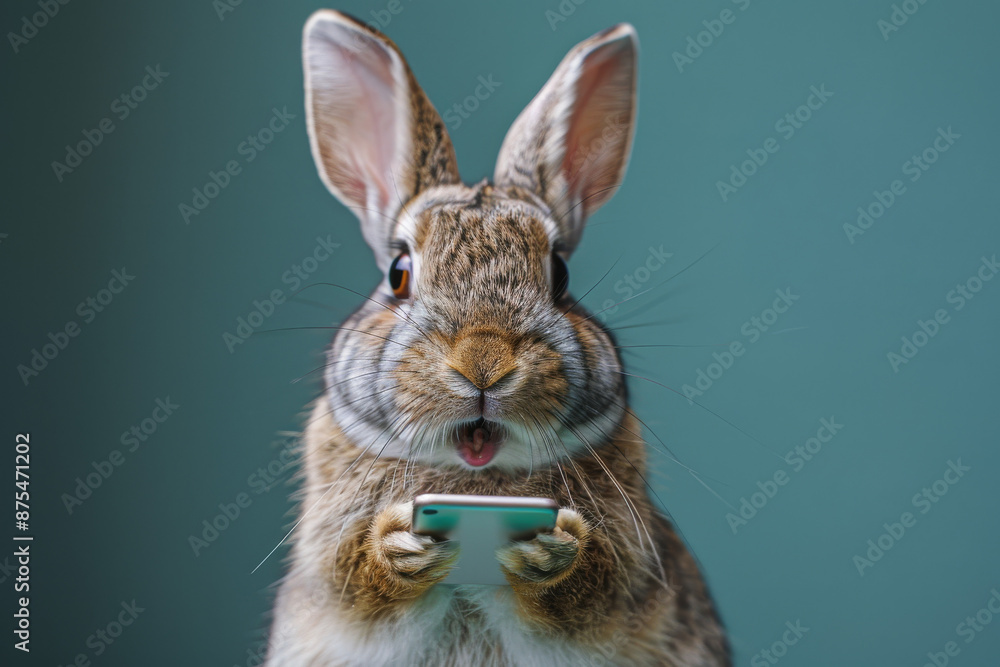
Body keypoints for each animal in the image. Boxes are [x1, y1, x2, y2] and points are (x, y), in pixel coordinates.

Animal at [265, 9, 731, 667]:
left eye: (560, 276)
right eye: (398, 273)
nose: (482, 363)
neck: (476, 482)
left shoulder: (625, 578)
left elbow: (584, 591)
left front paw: (552, 553)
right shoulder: (331, 573)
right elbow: (360, 583)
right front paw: (397, 546)